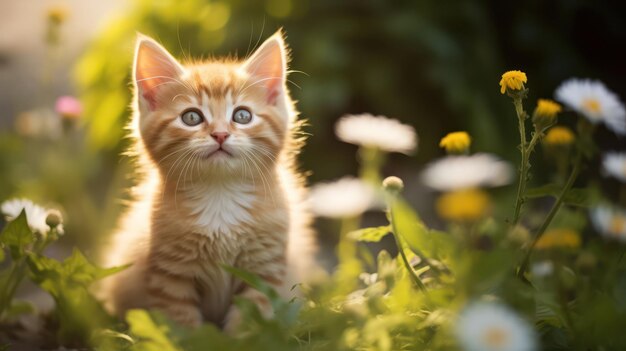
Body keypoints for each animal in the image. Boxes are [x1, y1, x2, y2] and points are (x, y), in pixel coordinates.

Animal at [102, 31, 316, 332]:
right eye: (191, 117)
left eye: (242, 115)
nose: (220, 134)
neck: (220, 193)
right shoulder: (170, 276)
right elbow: (182, 326)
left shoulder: (263, 272)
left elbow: (251, 325)